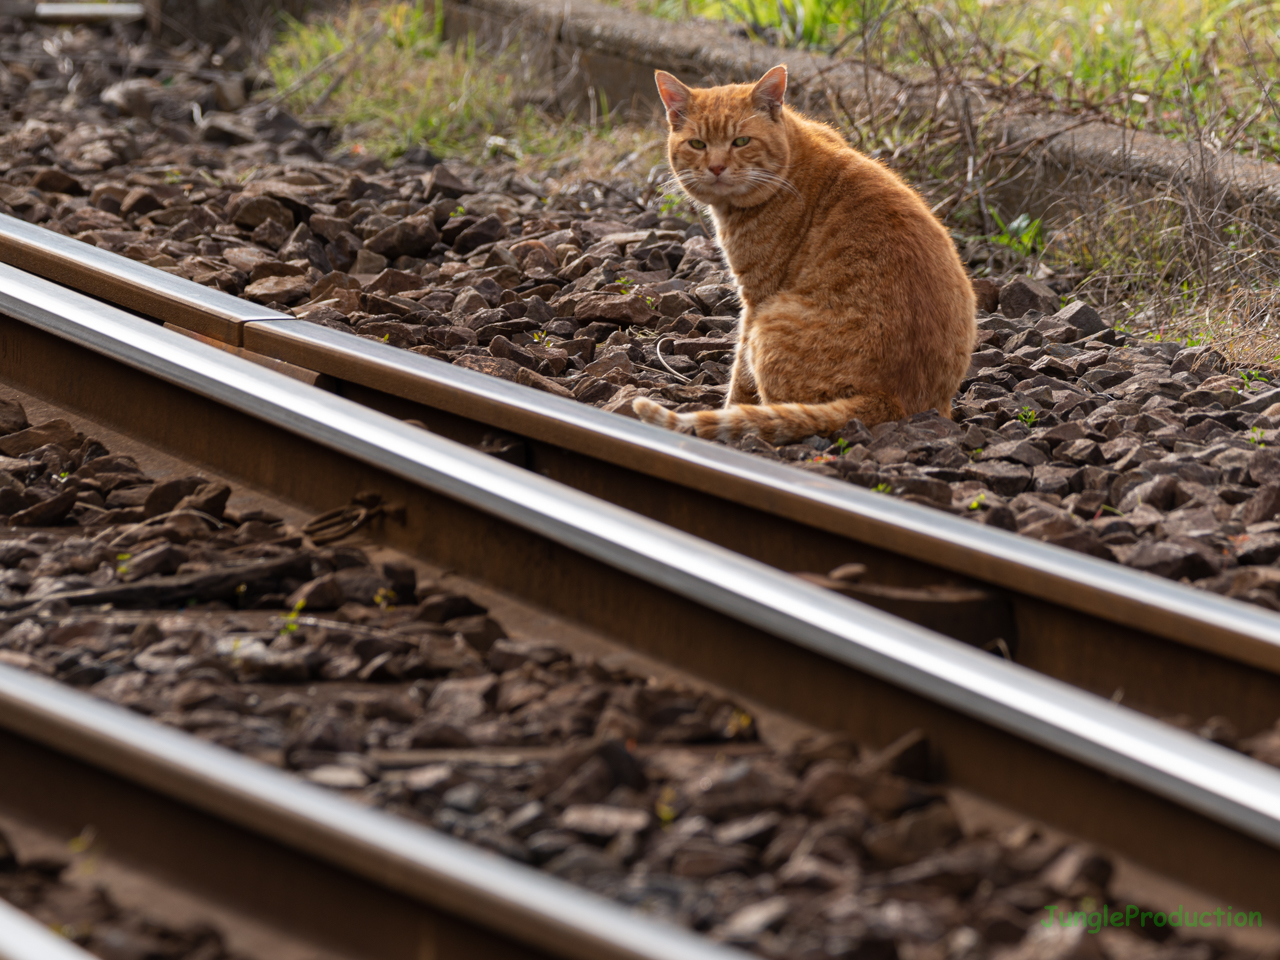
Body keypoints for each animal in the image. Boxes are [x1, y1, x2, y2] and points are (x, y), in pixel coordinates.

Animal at [634, 65, 972, 445]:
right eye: (698, 144)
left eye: (741, 142)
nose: (717, 167)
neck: (793, 155)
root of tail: (892, 398)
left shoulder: (756, 297)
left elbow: (740, 376)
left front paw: (728, 409)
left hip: (769, 325)